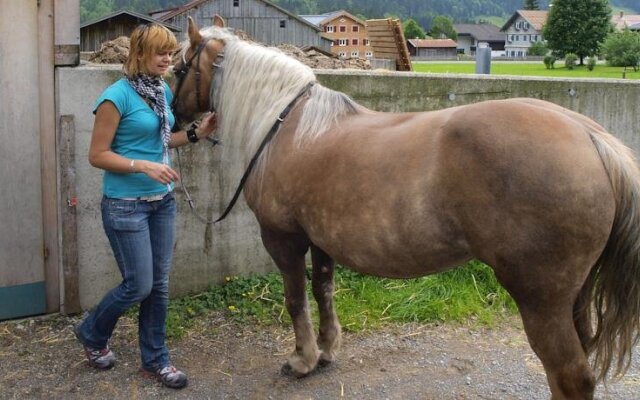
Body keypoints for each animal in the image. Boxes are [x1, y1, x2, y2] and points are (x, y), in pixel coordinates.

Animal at [171, 16, 640, 400]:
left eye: (178, 67)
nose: (173, 119)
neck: (285, 126)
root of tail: (591, 136)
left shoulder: (284, 239)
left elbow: (295, 298)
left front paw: (302, 359)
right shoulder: (321, 240)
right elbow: (323, 290)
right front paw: (326, 349)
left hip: (542, 299)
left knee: (570, 377)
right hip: (573, 297)